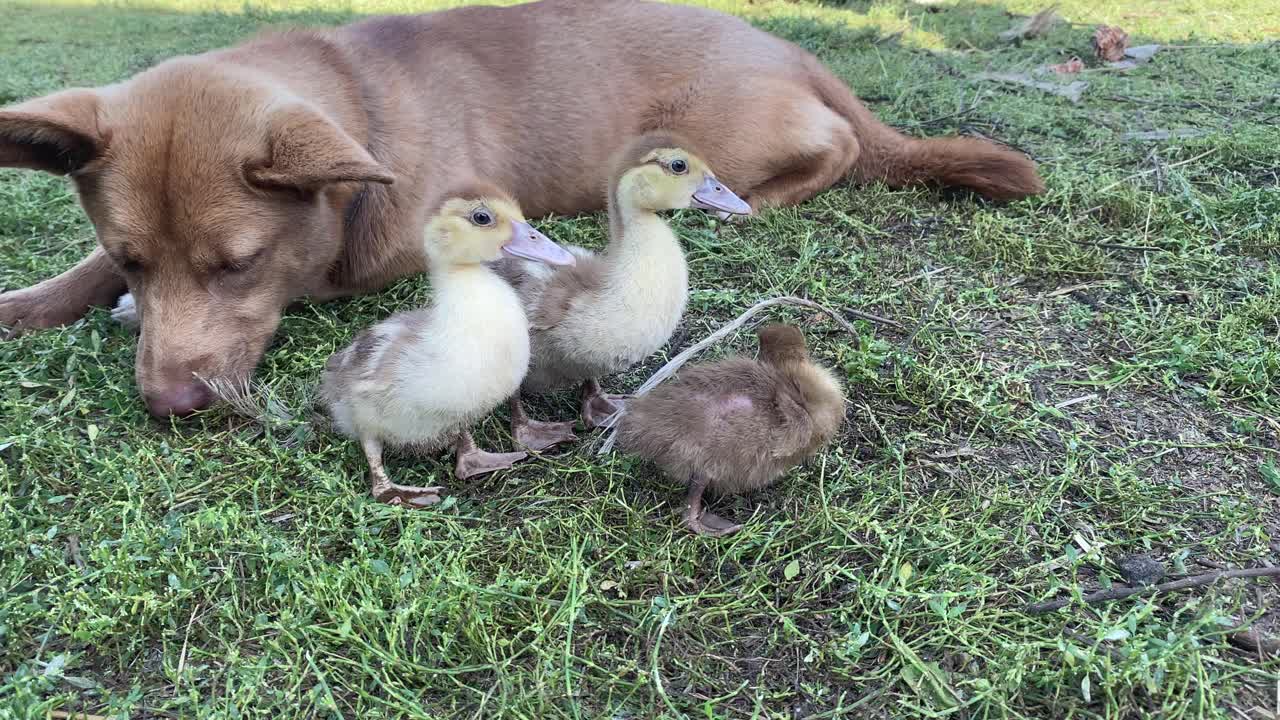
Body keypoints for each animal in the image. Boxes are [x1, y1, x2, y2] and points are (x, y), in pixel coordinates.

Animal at [0, 0, 1039, 415]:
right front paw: (38, 300)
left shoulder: (365, 260)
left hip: (732, 136)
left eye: (242, 263)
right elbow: (80, 271)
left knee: (839, 152)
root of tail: (795, 50)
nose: (167, 405)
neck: (360, 105)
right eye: (133, 256)